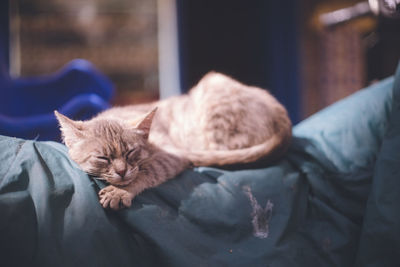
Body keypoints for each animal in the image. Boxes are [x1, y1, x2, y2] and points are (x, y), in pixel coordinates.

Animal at [54, 72, 292, 210]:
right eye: (103, 158)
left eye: (130, 153)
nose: (121, 171)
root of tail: (283, 117)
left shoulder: (170, 155)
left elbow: (146, 172)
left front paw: (122, 191)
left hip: (211, 90)